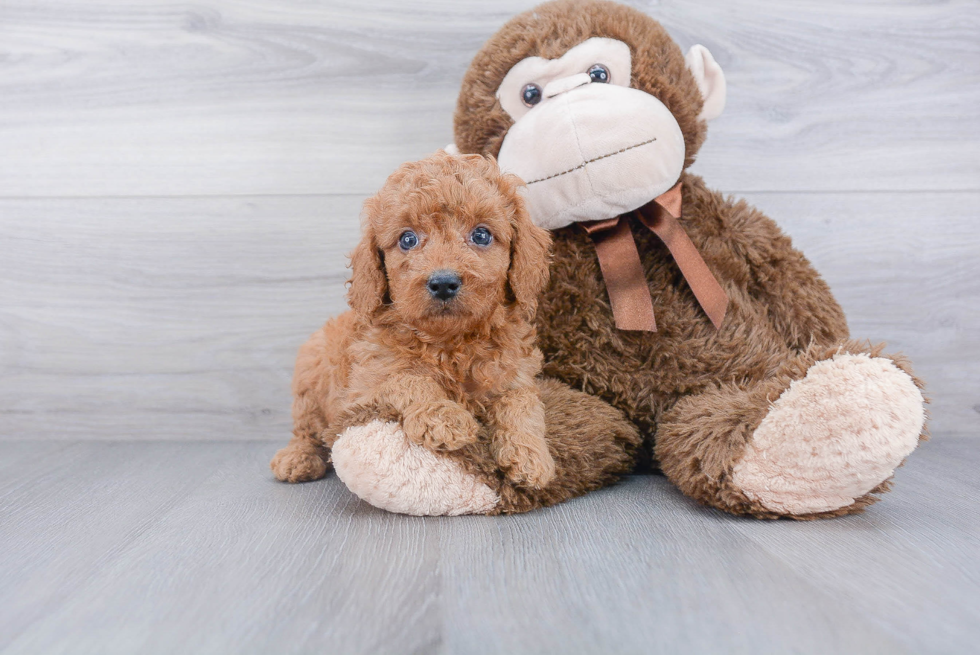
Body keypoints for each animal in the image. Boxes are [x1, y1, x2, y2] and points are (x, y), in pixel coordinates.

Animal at [272, 154, 556, 490]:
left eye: (481, 235)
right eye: (408, 239)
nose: (443, 283)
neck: (452, 343)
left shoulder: (516, 375)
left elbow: (522, 404)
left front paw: (531, 455)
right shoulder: (364, 386)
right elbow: (408, 379)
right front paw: (444, 418)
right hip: (310, 385)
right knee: (306, 430)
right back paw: (297, 458)